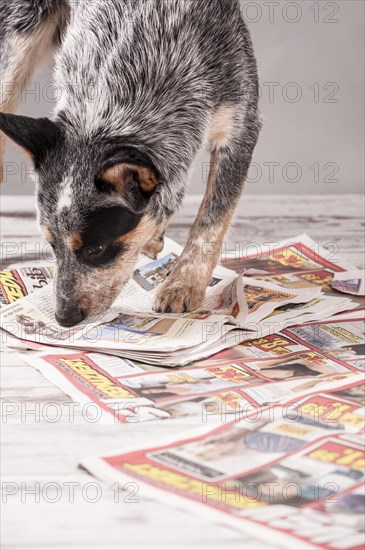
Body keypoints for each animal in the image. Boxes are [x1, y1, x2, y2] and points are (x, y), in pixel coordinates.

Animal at [0, 0, 262, 328]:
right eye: (52, 245)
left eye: (96, 249)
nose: (64, 317)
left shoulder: (240, 125)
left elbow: (211, 220)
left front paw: (183, 284)